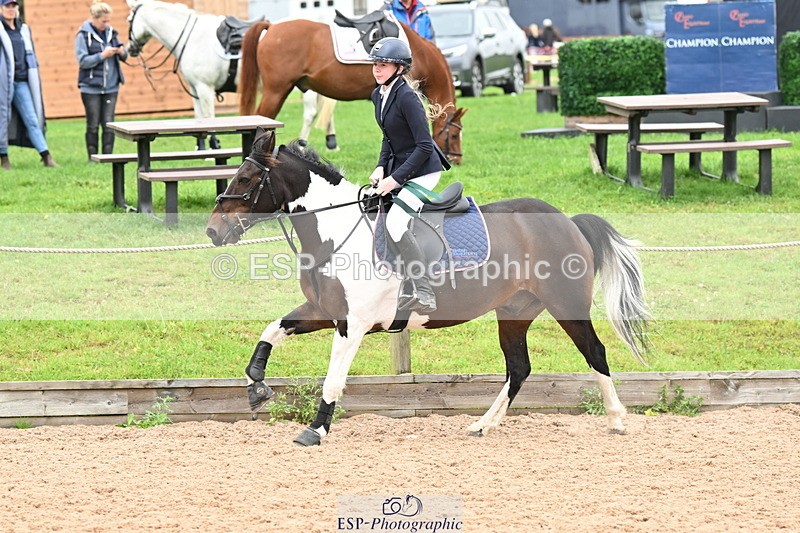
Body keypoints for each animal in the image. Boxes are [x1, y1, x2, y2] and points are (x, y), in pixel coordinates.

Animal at [124, 0, 338, 149]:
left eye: (128, 20)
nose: (129, 49)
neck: (193, 38)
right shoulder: (195, 89)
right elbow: (198, 118)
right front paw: (201, 148)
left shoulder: (205, 88)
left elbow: (208, 118)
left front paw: (213, 147)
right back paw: (331, 141)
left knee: (310, 113)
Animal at [205, 129, 650, 447]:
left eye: (246, 178)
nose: (212, 232)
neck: (335, 235)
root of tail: (566, 220)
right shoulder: (322, 312)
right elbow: (270, 332)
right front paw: (257, 387)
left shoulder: (352, 324)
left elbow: (332, 379)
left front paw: (315, 430)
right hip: (514, 311)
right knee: (519, 368)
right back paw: (482, 426)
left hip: (565, 305)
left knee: (594, 352)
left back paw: (617, 420)